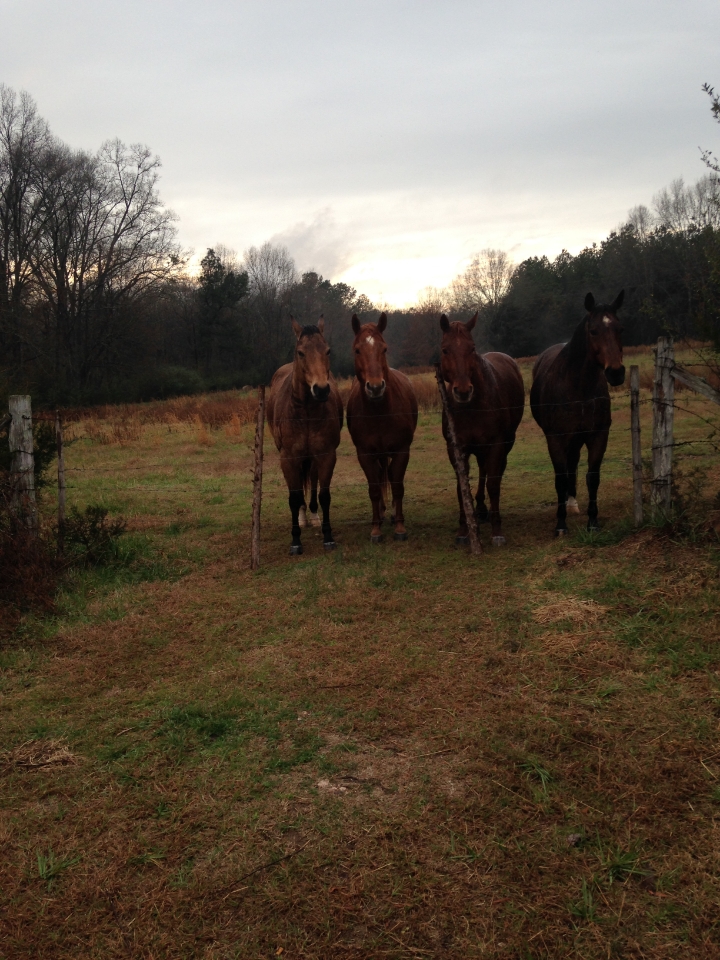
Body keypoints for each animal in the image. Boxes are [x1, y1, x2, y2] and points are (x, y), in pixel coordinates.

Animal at [266, 316, 343, 555]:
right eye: (301, 352)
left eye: (328, 351)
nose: (321, 389)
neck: (307, 414)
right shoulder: (289, 459)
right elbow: (293, 497)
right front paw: (295, 541)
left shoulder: (326, 456)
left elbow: (324, 495)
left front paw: (328, 537)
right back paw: (302, 518)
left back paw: (314, 517)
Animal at [346, 312, 418, 542]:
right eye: (357, 350)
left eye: (384, 349)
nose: (376, 387)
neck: (379, 412)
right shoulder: (365, 454)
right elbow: (374, 489)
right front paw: (376, 528)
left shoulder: (402, 450)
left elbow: (397, 485)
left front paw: (400, 527)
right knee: (379, 478)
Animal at [439, 313, 525, 545]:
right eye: (445, 349)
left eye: (472, 348)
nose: (462, 391)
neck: (472, 406)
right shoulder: (455, 448)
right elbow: (461, 487)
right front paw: (463, 530)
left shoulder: (496, 444)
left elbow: (493, 484)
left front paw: (497, 531)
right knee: (482, 469)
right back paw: (479, 509)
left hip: (505, 444)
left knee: (494, 473)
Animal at [530, 290, 625, 536]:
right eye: (593, 331)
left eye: (619, 329)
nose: (616, 373)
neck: (578, 388)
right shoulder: (556, 439)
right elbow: (560, 478)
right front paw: (560, 525)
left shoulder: (598, 435)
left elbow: (593, 478)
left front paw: (593, 521)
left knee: (573, 464)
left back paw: (571, 502)